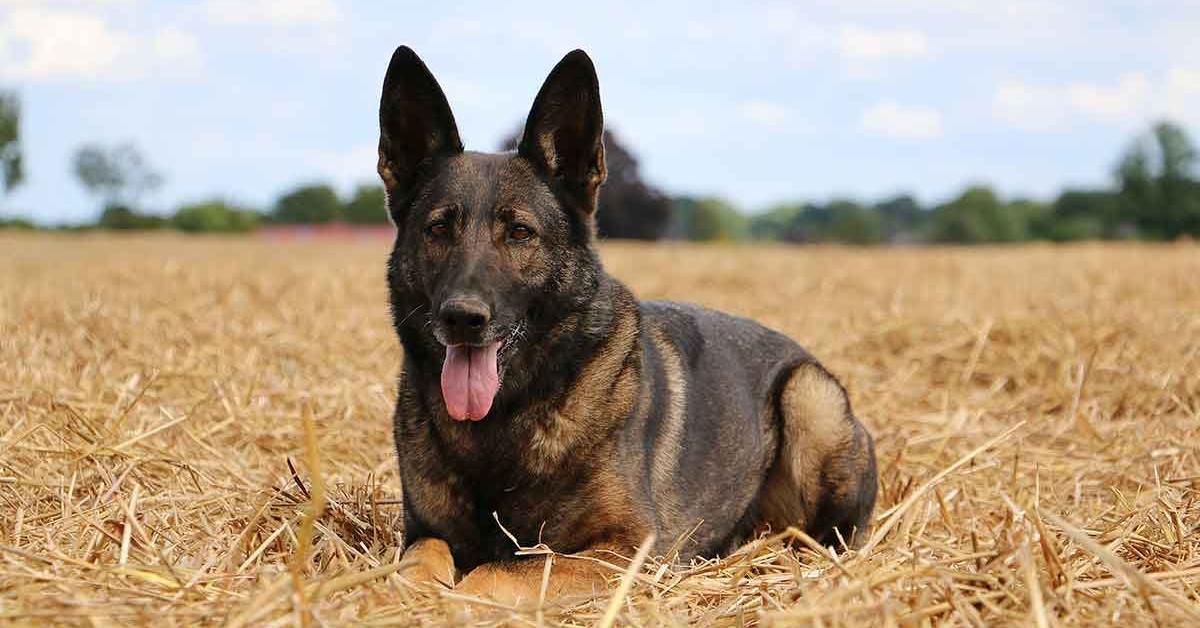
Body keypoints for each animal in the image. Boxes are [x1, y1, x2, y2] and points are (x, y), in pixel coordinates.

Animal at [379, 46, 878, 607]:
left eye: (520, 232)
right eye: (438, 228)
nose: (462, 317)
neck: (505, 417)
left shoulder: (624, 550)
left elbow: (499, 572)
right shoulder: (424, 530)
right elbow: (422, 556)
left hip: (810, 398)